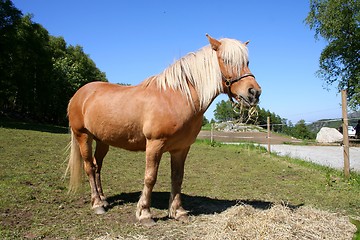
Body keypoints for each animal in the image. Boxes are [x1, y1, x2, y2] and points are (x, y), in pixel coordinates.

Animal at [66, 34, 260, 226]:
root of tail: (79, 94)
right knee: (89, 167)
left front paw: (178, 212)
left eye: (247, 61)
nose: (254, 92)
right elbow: (150, 178)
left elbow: (177, 177)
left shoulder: (181, 148)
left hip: (102, 141)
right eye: (226, 60)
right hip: (83, 136)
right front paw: (145, 213)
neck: (175, 97)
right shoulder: (154, 145)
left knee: (97, 166)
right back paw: (97, 204)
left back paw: (103, 199)